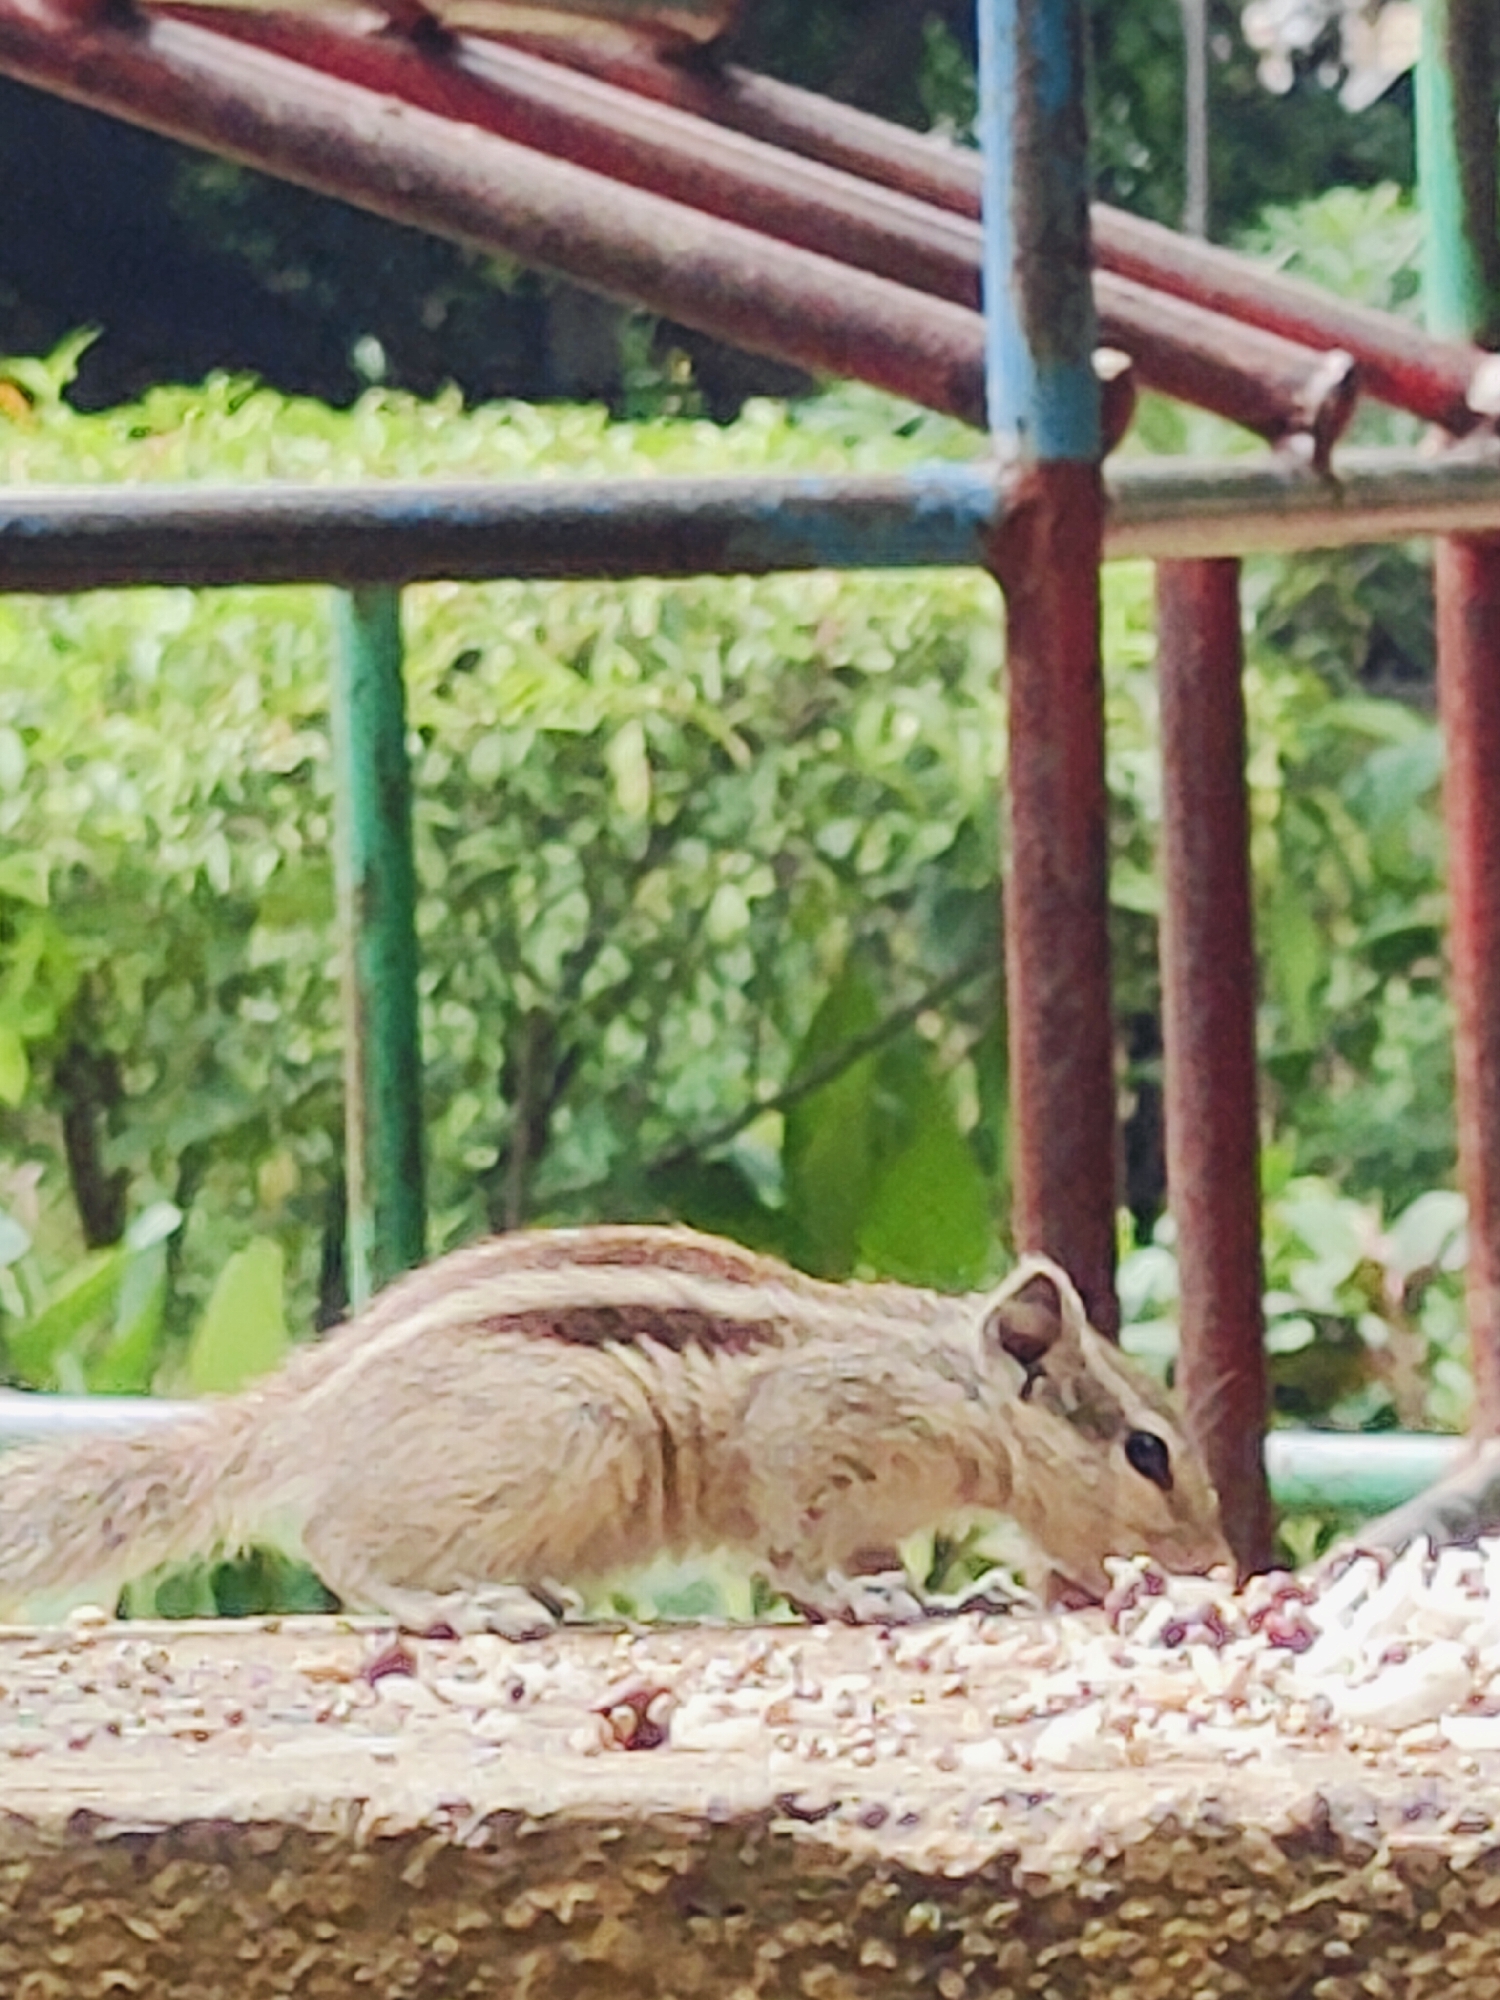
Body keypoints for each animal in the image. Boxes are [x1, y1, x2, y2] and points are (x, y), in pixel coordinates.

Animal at [0, 1225, 1231, 1632]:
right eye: (1147, 1452)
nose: (1216, 1561)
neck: (953, 1389)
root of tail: (302, 1412)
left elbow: (880, 1550)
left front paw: (955, 1592)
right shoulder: (806, 1441)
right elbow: (797, 1546)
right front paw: (864, 1600)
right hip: (577, 1434)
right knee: (343, 1545)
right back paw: (468, 1608)